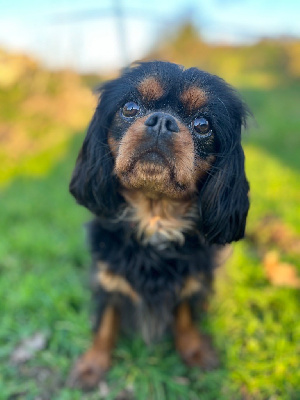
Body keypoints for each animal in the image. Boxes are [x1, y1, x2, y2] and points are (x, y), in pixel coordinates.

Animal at [69, 61, 250, 390]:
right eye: (129, 108)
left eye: (203, 124)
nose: (162, 121)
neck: (155, 218)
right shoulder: (107, 277)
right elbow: (106, 321)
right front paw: (92, 364)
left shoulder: (193, 277)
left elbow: (185, 312)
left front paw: (194, 350)